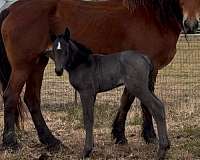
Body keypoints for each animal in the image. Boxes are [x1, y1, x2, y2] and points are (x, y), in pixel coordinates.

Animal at [0, 0, 183, 155]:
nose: (59, 70)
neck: (153, 17)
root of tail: (11, 9)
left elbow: (127, 101)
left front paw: (121, 135)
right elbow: (135, 103)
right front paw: (146, 136)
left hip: (38, 63)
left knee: (32, 99)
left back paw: (51, 141)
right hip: (23, 66)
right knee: (11, 96)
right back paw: (11, 143)